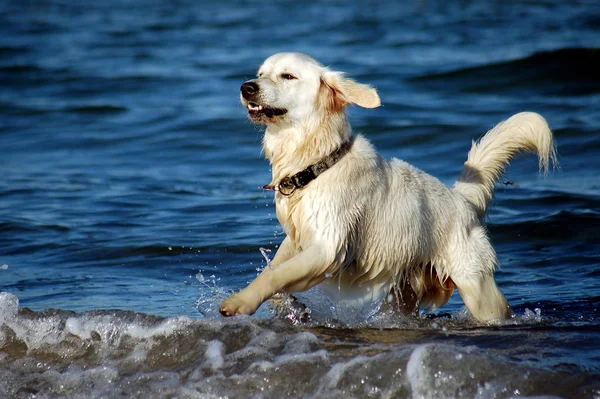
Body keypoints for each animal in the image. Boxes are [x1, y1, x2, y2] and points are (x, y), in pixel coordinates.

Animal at [220, 52, 556, 322]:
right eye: (261, 73)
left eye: (288, 76)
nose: (246, 87)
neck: (317, 163)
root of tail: (463, 200)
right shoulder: (297, 238)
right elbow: (274, 270)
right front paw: (286, 306)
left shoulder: (328, 247)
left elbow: (278, 275)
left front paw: (240, 302)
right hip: (405, 292)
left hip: (478, 289)